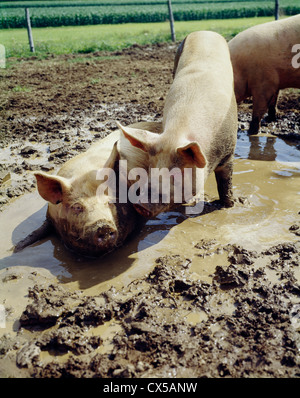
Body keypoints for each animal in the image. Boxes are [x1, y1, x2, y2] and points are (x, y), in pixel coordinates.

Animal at [14, 121, 163, 256]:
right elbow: (37, 231)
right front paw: (17, 248)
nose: (103, 226)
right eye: (77, 207)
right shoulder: (50, 215)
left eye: (110, 202)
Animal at [118, 30, 238, 218]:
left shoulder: (229, 152)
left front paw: (230, 205)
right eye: (151, 167)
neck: (177, 132)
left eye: (175, 173)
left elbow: (225, 183)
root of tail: (205, 31)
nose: (140, 205)